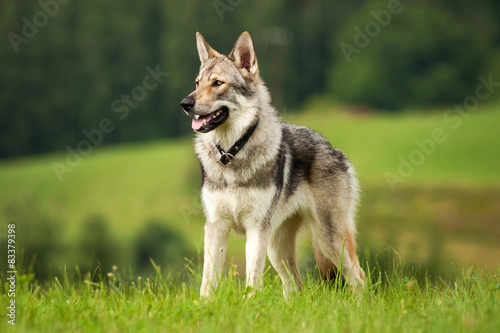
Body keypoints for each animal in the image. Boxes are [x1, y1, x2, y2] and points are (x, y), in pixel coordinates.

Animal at [182, 31, 366, 296]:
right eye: (197, 83)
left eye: (217, 83)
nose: (185, 103)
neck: (232, 154)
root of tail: (333, 148)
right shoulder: (216, 226)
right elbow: (208, 281)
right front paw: (205, 304)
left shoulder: (256, 227)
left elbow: (252, 279)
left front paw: (249, 304)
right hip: (278, 250)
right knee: (295, 287)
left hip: (328, 239)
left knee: (359, 279)